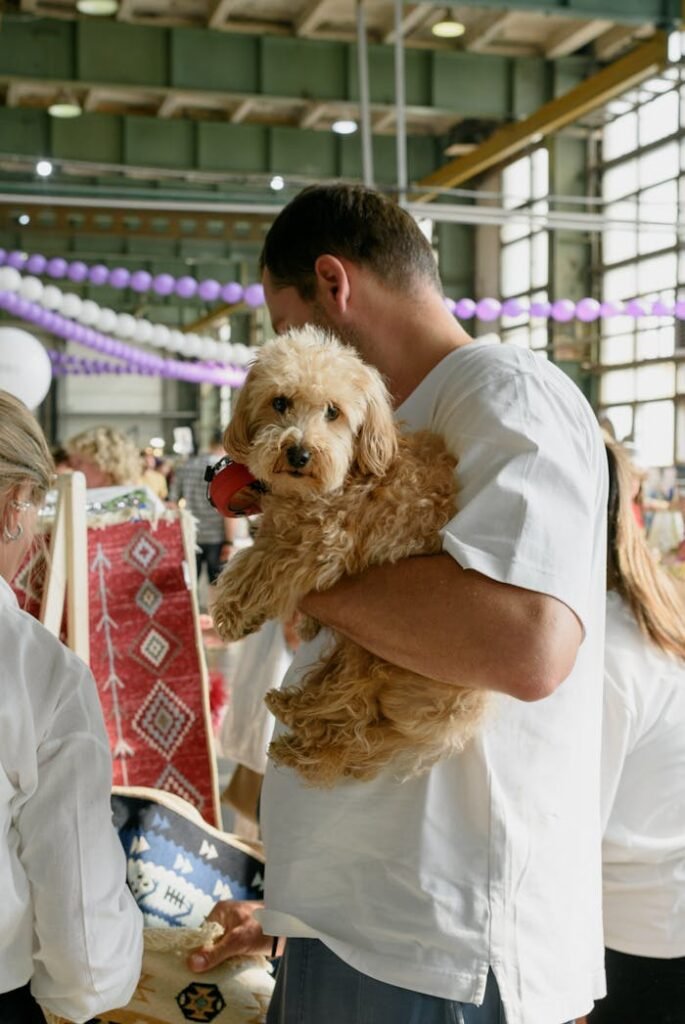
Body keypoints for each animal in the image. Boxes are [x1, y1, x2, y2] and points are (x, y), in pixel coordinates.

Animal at [213, 327, 485, 782]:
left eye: (333, 412)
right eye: (280, 402)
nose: (299, 453)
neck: (350, 475)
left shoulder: (320, 546)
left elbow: (259, 563)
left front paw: (233, 613)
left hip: (382, 657)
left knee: (352, 721)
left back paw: (300, 740)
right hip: (365, 655)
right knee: (346, 708)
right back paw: (293, 710)